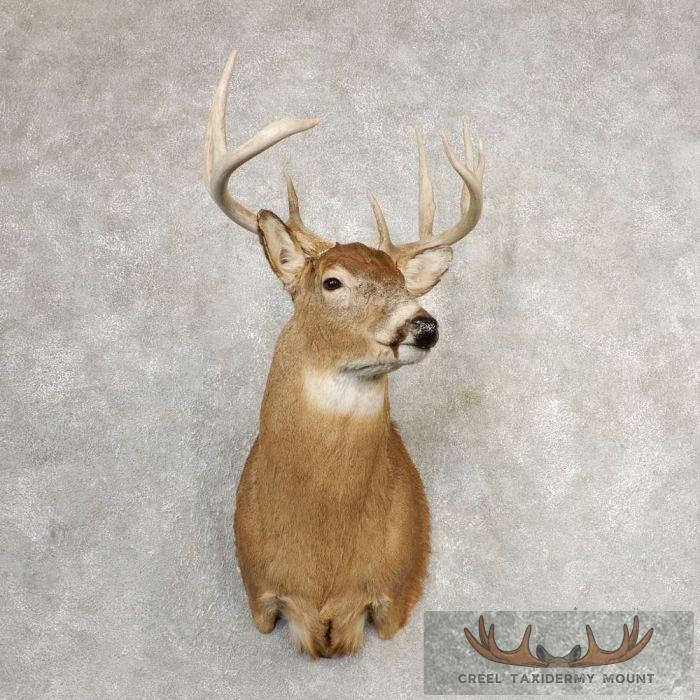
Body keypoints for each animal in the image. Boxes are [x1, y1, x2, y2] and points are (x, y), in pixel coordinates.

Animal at [203, 51, 485, 658]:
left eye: (403, 283)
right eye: (332, 281)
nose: (424, 325)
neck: (327, 570)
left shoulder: (394, 595)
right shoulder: (261, 595)